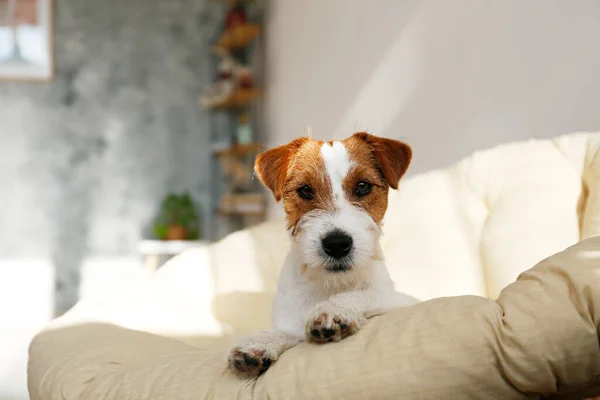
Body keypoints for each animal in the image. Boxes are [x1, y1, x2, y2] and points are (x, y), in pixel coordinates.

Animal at [227, 132, 420, 378]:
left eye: (363, 186)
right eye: (305, 190)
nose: (337, 244)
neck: (331, 284)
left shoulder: (398, 300)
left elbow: (369, 294)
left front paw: (333, 310)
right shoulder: (291, 320)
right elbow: (288, 331)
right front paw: (260, 342)